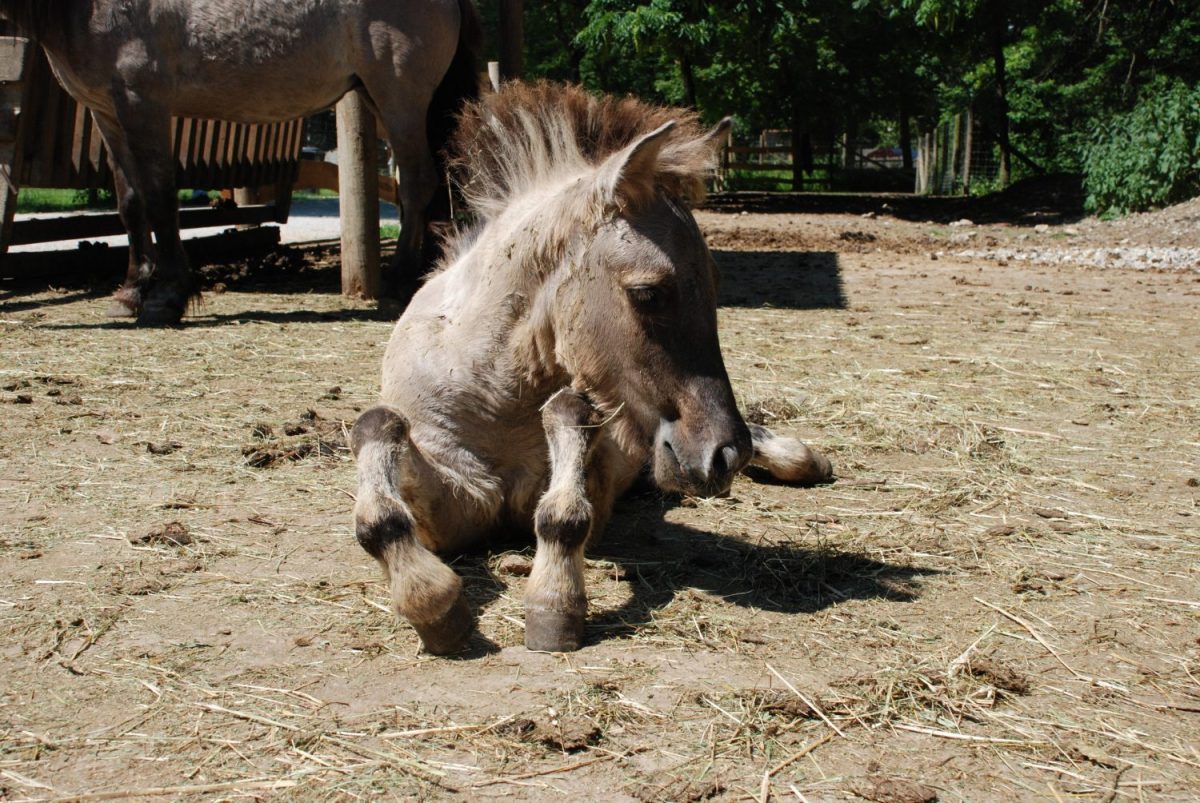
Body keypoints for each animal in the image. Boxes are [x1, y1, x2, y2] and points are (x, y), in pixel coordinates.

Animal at [4, 1, 482, 326]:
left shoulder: (143, 104)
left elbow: (160, 199)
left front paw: (167, 297)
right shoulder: (106, 111)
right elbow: (131, 204)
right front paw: (130, 293)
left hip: (399, 96)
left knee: (417, 184)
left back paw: (399, 283)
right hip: (378, 95)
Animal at [350, 84, 830, 652]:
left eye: (716, 283)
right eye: (648, 293)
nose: (724, 457)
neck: (494, 393)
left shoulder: (593, 478)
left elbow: (566, 487)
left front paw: (553, 601)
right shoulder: (452, 505)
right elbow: (378, 442)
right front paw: (430, 601)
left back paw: (802, 458)